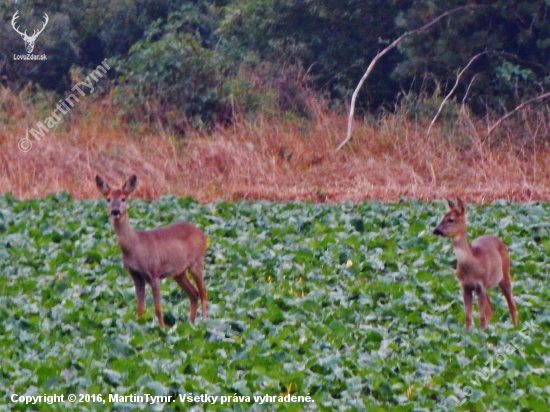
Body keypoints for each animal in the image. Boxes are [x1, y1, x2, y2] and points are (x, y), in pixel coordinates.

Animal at [96, 175, 208, 328]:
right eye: (108, 199)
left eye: (124, 198)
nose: (115, 211)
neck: (135, 246)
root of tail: (203, 235)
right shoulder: (136, 277)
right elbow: (140, 309)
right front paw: (140, 326)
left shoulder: (154, 273)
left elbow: (158, 308)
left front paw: (162, 329)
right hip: (179, 272)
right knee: (194, 294)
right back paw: (190, 324)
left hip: (197, 262)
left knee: (203, 292)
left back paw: (204, 321)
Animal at [434, 197, 520, 332]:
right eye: (443, 216)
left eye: (451, 219)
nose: (436, 230)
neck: (472, 263)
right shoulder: (465, 286)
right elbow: (468, 318)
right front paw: (470, 334)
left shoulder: (481, 285)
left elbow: (481, 318)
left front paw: (482, 335)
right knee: (490, 309)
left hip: (505, 274)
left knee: (512, 306)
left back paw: (515, 329)